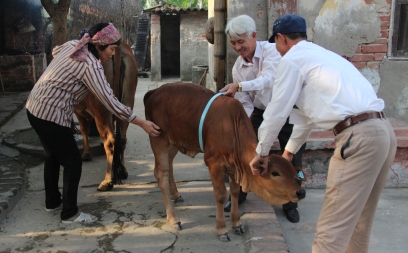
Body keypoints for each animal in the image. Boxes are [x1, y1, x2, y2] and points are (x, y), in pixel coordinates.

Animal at [73, 42, 137, 191]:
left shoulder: (78, 110)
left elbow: (84, 129)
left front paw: (86, 154)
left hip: (101, 108)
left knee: (110, 141)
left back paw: (108, 180)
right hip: (127, 100)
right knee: (122, 138)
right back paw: (122, 170)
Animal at [144, 83, 306, 241]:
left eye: (293, 171)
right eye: (275, 173)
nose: (301, 192)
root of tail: (153, 92)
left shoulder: (234, 167)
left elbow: (234, 192)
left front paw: (236, 224)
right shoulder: (213, 162)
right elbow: (221, 195)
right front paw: (222, 229)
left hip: (173, 143)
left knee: (169, 167)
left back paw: (176, 195)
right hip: (159, 140)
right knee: (161, 174)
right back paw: (174, 218)